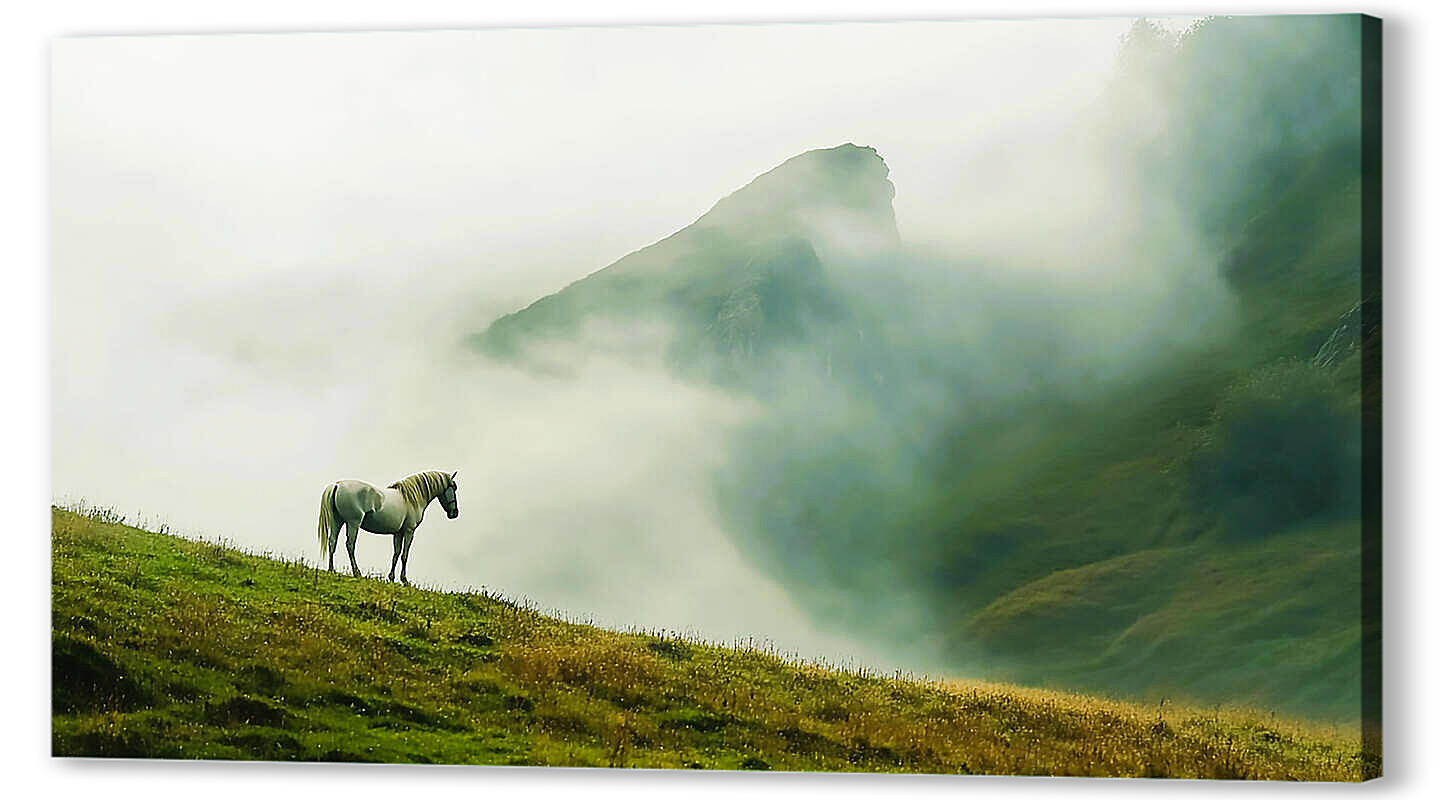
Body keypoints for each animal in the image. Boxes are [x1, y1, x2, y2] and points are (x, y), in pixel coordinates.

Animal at [316, 470, 458, 585]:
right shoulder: (409, 531)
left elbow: (396, 554)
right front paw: (404, 580)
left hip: (337, 522)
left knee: (332, 542)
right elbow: (404, 555)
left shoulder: (398, 533)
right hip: (353, 523)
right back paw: (357, 572)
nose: (454, 513)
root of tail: (337, 485)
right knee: (350, 545)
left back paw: (331, 569)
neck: (410, 498)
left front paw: (391, 577)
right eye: (454, 487)